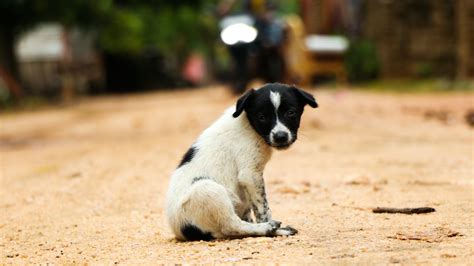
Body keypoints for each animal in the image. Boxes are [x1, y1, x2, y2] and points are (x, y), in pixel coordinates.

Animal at [165, 82, 316, 240]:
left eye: (290, 113)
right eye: (262, 117)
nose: (281, 136)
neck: (249, 126)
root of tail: (181, 231)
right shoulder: (250, 175)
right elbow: (263, 209)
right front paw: (270, 225)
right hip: (207, 189)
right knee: (231, 226)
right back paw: (270, 228)